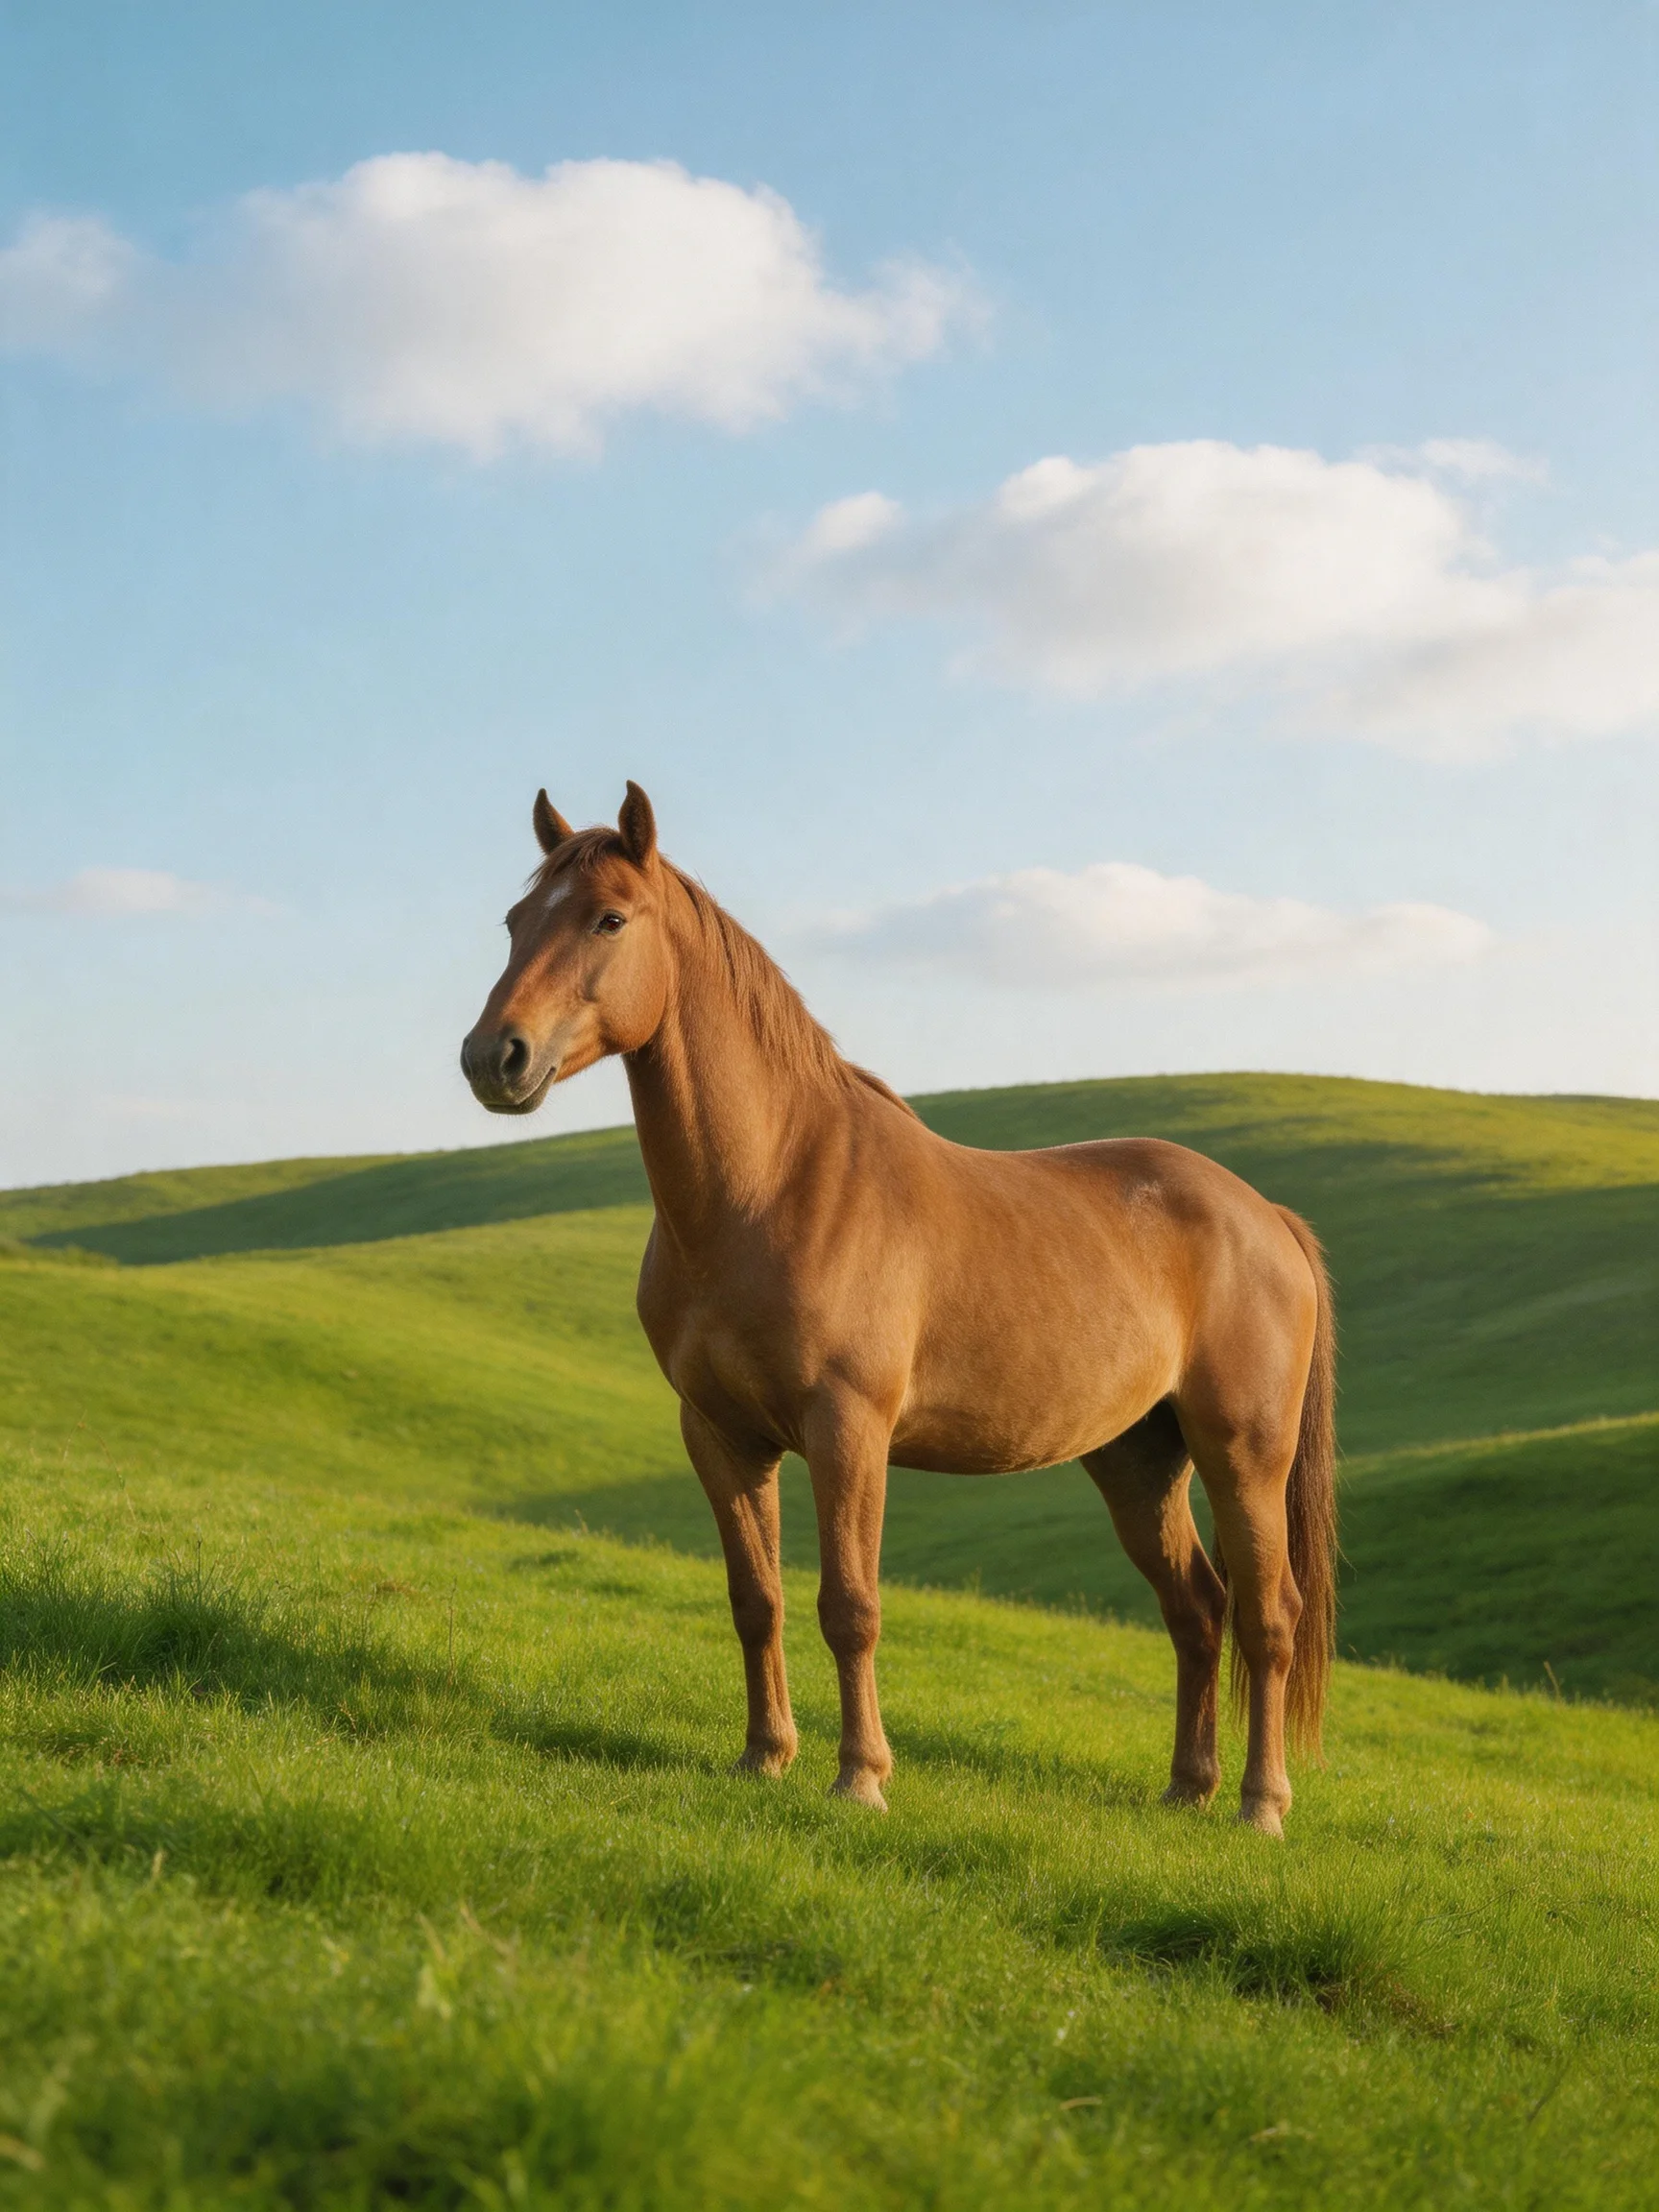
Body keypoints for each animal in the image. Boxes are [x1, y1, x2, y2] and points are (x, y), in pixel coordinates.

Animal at [462, 784, 1337, 1836]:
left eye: (609, 919)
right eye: (516, 921)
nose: (494, 1058)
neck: (773, 1185)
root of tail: (1268, 1217)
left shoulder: (849, 1431)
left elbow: (851, 1605)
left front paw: (861, 1777)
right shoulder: (719, 1435)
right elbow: (755, 1599)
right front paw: (764, 1757)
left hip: (1243, 1457)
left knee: (1268, 1617)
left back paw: (1260, 1806)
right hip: (1137, 1462)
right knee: (1197, 1610)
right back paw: (1186, 1788)